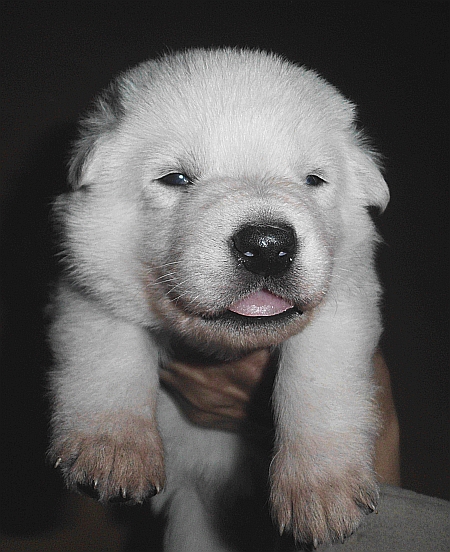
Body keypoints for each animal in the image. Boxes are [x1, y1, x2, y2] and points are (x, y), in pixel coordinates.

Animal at [47, 49, 388, 548]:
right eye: (176, 178)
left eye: (313, 180)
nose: (267, 245)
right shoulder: (87, 275)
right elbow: (110, 346)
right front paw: (112, 450)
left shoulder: (347, 298)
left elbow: (316, 378)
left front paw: (321, 492)